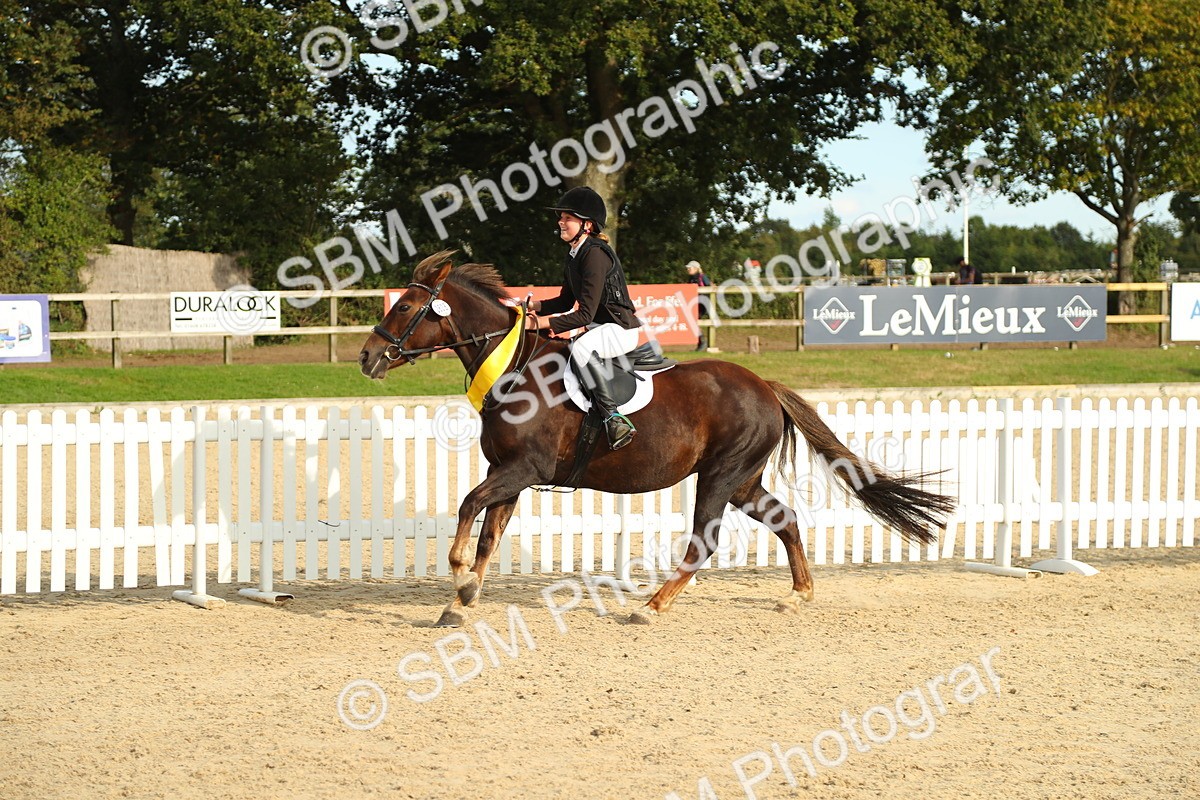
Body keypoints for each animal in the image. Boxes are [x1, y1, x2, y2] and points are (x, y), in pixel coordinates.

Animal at [359, 251, 955, 627]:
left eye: (405, 307)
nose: (366, 358)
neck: (514, 367)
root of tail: (764, 385)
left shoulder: (523, 471)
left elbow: (467, 509)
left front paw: (459, 579)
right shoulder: (508, 474)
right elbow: (487, 533)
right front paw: (461, 601)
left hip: (720, 476)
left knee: (704, 541)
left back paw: (650, 607)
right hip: (742, 480)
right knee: (784, 519)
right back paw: (796, 596)